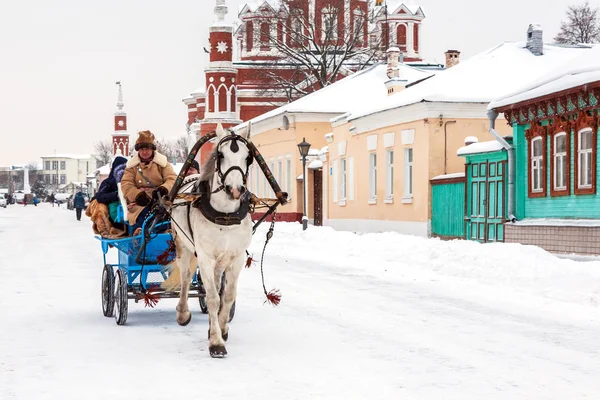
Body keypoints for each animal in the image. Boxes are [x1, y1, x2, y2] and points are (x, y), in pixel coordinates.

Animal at [170, 123, 252, 358]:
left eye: (248, 157)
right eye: (220, 155)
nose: (235, 190)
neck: (225, 215)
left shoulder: (236, 258)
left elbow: (228, 295)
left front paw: (221, 329)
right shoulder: (205, 257)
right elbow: (214, 298)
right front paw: (216, 343)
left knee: (215, 283)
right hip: (183, 245)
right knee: (186, 278)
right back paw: (183, 313)